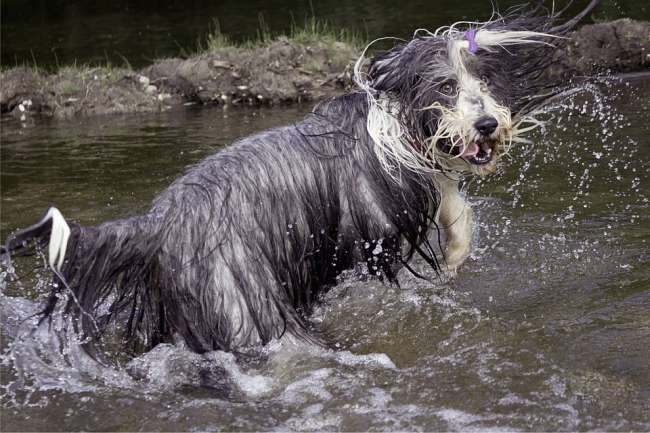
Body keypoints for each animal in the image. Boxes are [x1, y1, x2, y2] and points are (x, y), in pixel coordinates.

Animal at [1, 0, 596, 358]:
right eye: (446, 87)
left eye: (483, 80)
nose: (489, 124)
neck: (390, 123)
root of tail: (157, 225)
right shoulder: (375, 226)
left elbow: (453, 201)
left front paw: (455, 250)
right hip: (243, 301)